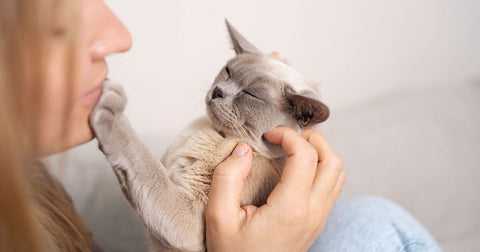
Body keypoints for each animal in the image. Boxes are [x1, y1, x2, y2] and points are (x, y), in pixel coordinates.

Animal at [90, 20, 330, 251]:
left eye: (251, 95)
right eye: (228, 71)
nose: (218, 91)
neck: (214, 133)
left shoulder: (192, 217)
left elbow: (149, 168)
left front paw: (108, 108)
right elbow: (142, 173)